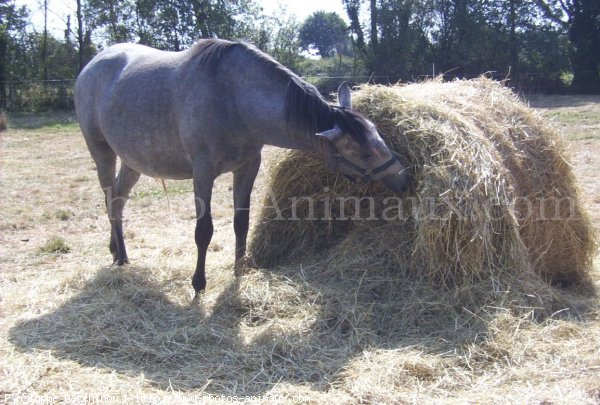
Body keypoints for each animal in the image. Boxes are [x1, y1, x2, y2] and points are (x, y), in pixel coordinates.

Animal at [74, 38, 412, 296]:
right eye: (364, 153)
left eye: (379, 137)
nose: (404, 179)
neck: (233, 98)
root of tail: (92, 65)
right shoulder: (203, 173)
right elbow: (204, 230)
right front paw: (198, 284)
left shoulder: (248, 166)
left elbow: (241, 223)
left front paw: (239, 270)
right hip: (102, 153)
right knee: (110, 199)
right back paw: (121, 257)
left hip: (133, 162)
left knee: (117, 201)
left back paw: (117, 250)